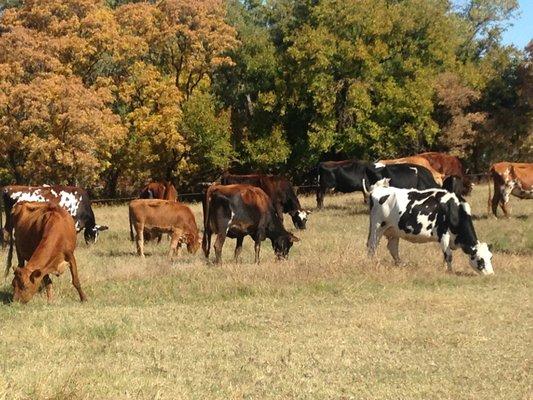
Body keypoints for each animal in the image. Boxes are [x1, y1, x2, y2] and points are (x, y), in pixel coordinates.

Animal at [366, 180, 494, 276]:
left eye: (490, 257)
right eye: (480, 260)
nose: (491, 274)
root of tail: (378, 189)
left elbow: (445, 255)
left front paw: (444, 269)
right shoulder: (443, 234)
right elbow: (448, 255)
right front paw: (450, 271)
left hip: (394, 230)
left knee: (392, 248)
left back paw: (400, 264)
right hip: (377, 227)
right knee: (372, 246)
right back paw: (373, 264)